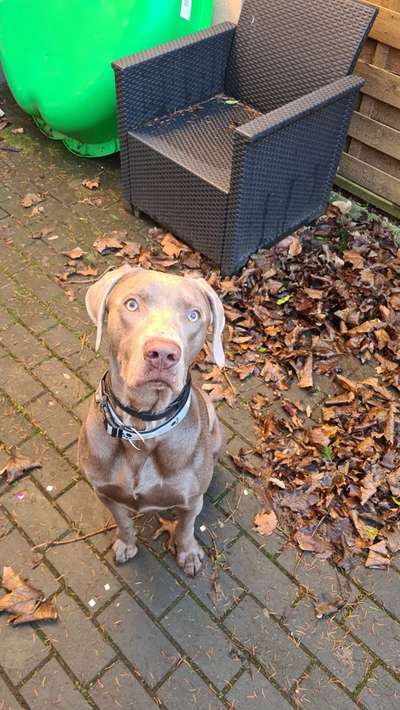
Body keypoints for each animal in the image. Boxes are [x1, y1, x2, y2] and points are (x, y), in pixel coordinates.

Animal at [77, 268, 225, 580]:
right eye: (132, 304)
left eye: (194, 315)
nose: (163, 354)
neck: (142, 426)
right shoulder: (105, 492)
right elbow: (123, 522)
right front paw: (126, 544)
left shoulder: (190, 500)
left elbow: (185, 528)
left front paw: (188, 554)